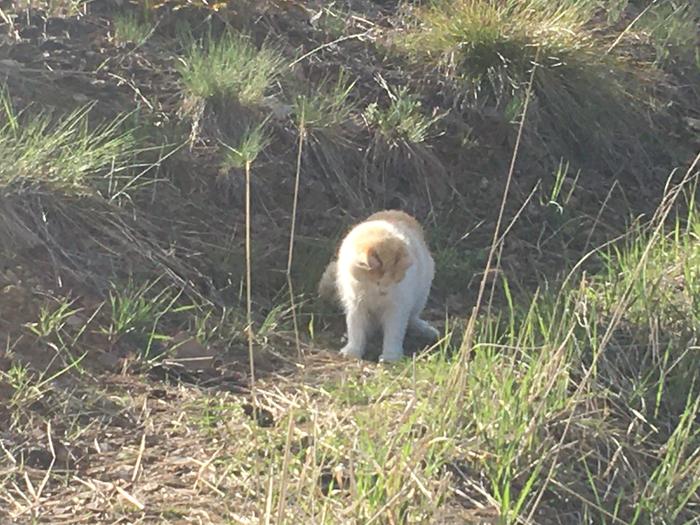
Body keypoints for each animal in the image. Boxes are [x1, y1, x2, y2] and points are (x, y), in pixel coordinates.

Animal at [322, 209, 440, 360]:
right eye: (376, 281)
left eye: (396, 280)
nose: (384, 291)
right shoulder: (356, 305)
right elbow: (356, 328)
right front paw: (353, 351)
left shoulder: (397, 307)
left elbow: (394, 332)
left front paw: (390, 357)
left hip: (421, 297)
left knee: (412, 319)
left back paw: (426, 330)